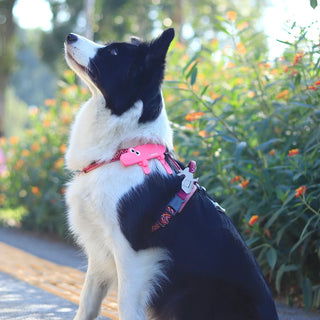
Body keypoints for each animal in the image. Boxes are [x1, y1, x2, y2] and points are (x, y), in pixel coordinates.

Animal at [64, 28, 278, 320]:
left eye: (113, 52)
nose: (70, 36)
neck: (124, 151)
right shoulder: (99, 251)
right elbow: (86, 304)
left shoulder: (133, 254)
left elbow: (125, 305)